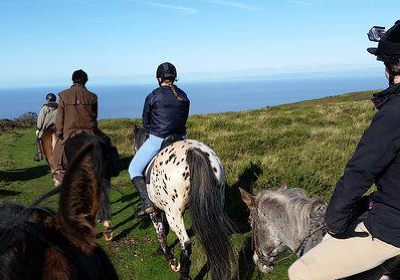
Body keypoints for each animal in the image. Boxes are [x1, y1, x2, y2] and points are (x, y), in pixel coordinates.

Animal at [133, 124, 236, 280]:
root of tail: (195, 152)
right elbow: (165, 229)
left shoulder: (155, 211)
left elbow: (160, 233)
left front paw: (171, 260)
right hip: (215, 207)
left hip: (174, 214)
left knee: (185, 243)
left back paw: (184, 274)